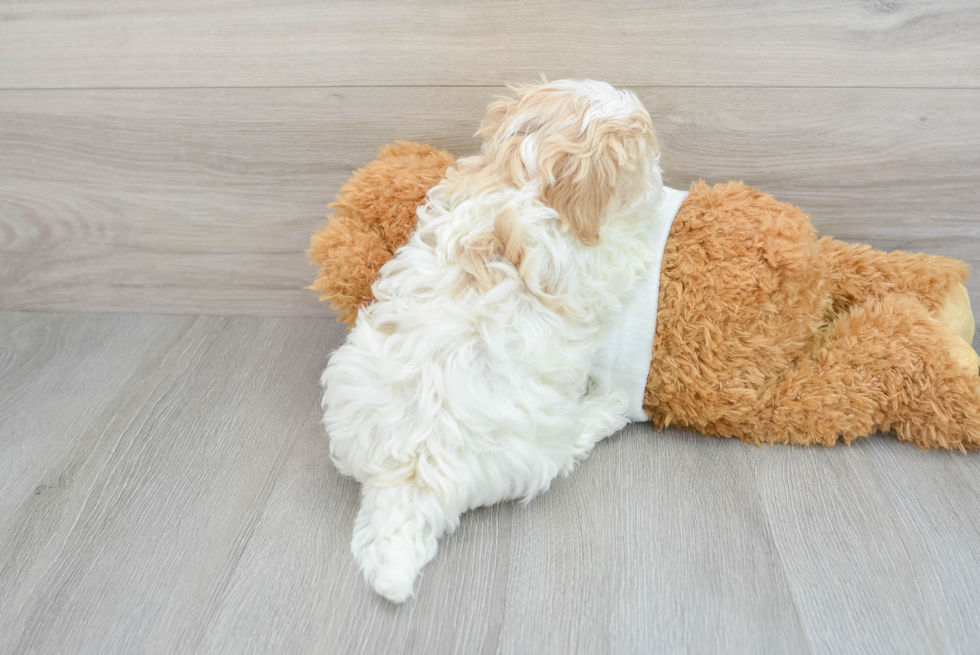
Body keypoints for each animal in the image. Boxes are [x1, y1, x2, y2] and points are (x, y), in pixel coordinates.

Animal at [322, 79, 668, 604]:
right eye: (643, 151)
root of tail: (410, 473)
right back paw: (605, 408)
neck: (522, 172)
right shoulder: (594, 259)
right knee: (569, 446)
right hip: (545, 437)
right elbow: (622, 247)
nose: (662, 169)